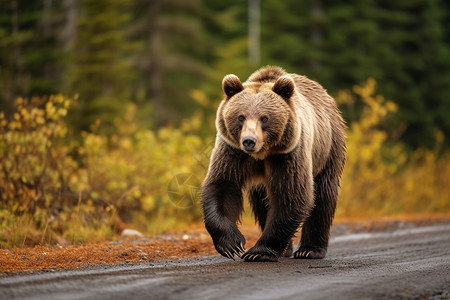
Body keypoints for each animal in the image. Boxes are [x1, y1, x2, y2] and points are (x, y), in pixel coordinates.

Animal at [202, 65, 346, 260]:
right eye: (241, 117)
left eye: (264, 118)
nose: (249, 141)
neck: (262, 154)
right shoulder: (232, 152)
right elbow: (222, 185)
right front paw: (232, 244)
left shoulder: (288, 155)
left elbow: (292, 195)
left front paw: (258, 252)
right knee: (261, 201)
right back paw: (287, 249)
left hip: (328, 147)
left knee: (324, 195)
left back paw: (309, 250)